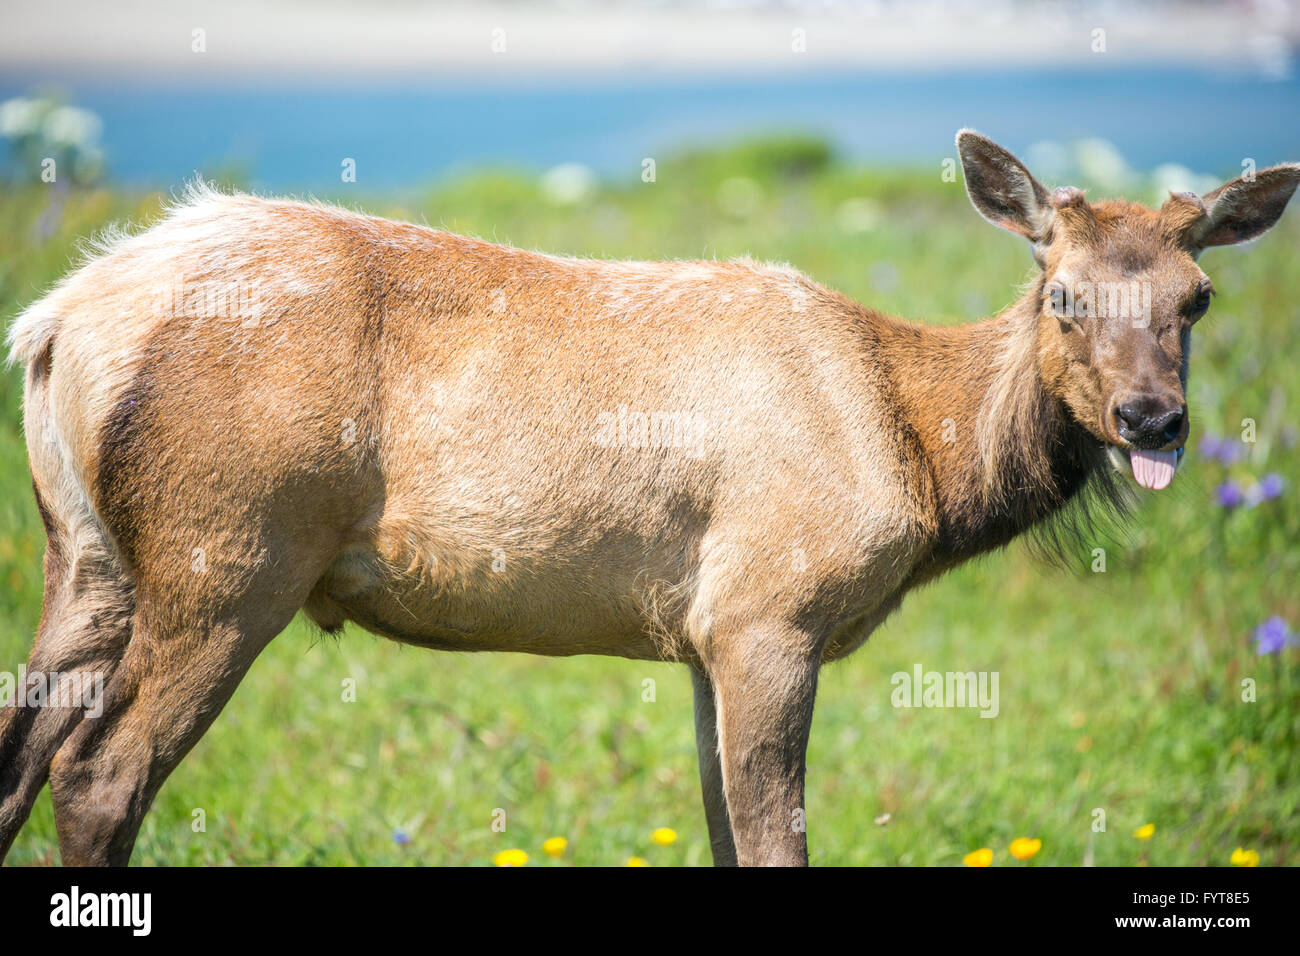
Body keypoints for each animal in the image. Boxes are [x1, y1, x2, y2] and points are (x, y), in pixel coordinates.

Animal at [2, 127, 1300, 868]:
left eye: (1193, 300)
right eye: (1062, 297)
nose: (1153, 420)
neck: (919, 459)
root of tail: (57, 319)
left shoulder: (702, 634)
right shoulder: (770, 606)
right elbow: (774, 842)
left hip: (90, 557)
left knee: (20, 748)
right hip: (231, 551)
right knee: (98, 771)